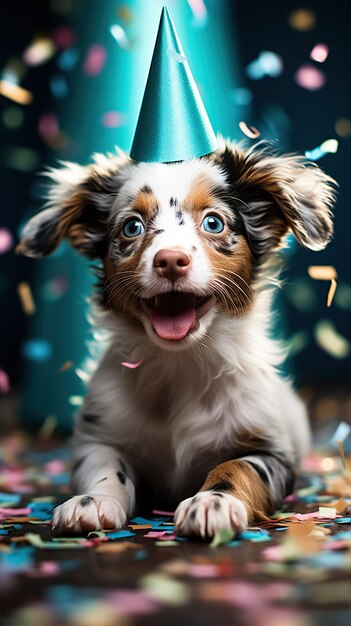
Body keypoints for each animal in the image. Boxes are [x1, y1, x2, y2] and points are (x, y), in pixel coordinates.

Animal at [17, 138, 336, 536]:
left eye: (214, 222)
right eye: (132, 227)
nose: (170, 260)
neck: (180, 362)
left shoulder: (271, 452)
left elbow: (237, 466)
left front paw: (213, 502)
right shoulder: (97, 438)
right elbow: (107, 466)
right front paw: (92, 501)